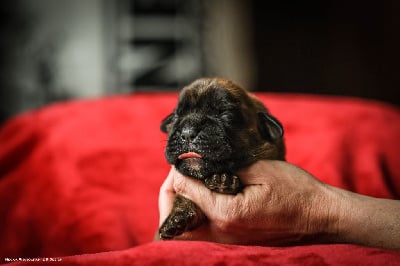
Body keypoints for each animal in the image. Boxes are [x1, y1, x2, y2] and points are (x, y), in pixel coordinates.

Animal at [156, 78, 284, 240]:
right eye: (176, 116)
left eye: (226, 114)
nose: (187, 132)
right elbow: (183, 198)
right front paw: (177, 217)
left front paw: (224, 181)